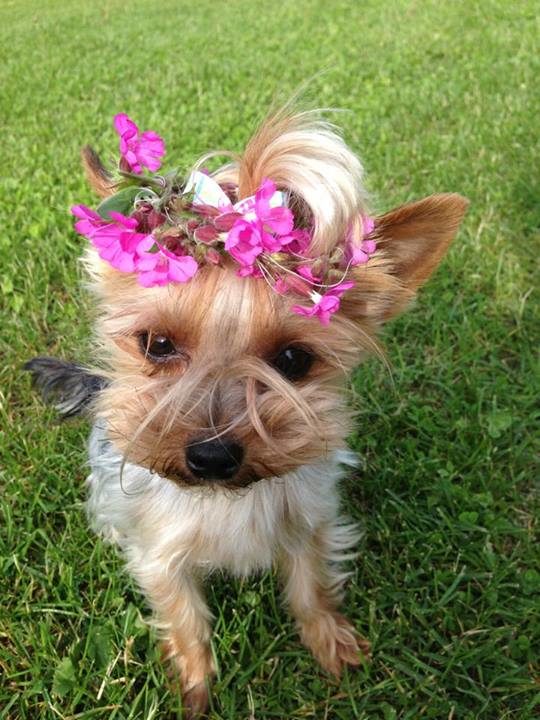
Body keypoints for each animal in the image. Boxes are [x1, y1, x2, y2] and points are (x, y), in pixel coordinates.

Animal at [26, 105, 468, 716]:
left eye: (293, 359)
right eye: (157, 344)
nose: (212, 456)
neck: (226, 499)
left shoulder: (310, 520)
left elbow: (311, 586)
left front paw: (332, 646)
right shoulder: (160, 553)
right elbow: (184, 615)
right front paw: (194, 686)